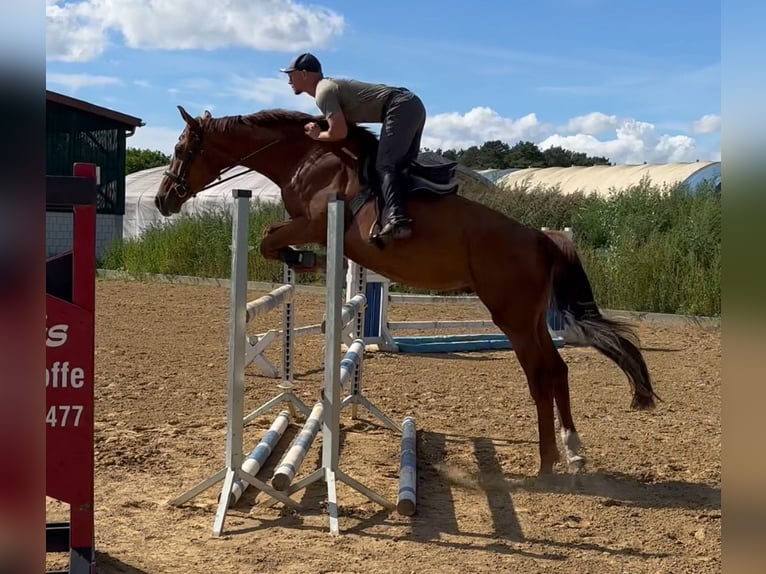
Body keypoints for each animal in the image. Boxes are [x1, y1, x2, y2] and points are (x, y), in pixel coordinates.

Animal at [154, 105, 659, 478]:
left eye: (181, 147)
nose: (163, 200)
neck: (307, 158)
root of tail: (540, 237)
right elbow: (272, 240)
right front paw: (306, 261)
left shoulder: (314, 222)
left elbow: (269, 238)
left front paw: (306, 260)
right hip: (531, 318)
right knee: (556, 370)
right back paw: (573, 452)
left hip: (512, 317)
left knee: (539, 374)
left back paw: (548, 463)